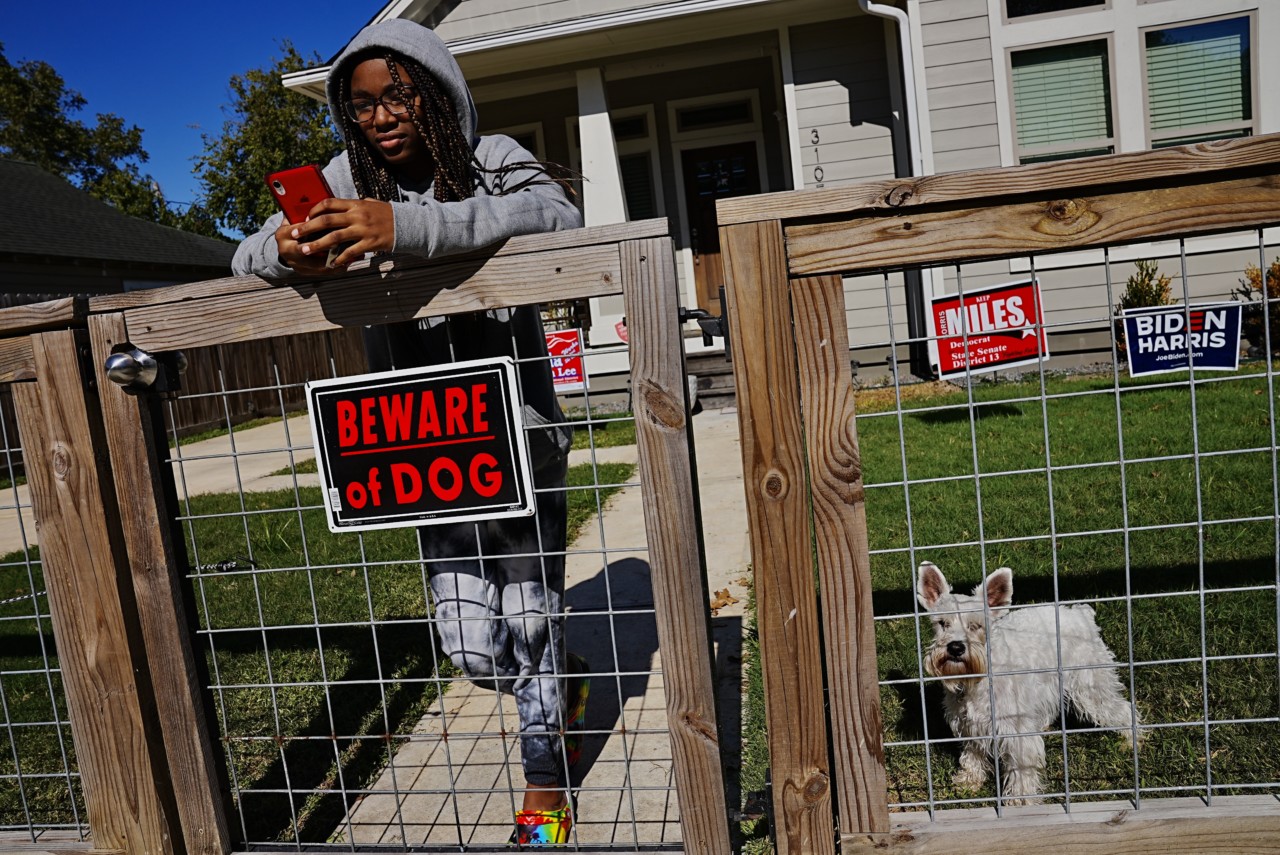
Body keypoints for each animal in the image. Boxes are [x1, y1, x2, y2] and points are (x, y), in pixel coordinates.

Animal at [916, 561, 1140, 804]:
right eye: (942, 623)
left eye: (976, 626)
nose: (956, 647)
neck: (977, 679)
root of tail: (1082, 615)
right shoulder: (970, 724)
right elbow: (973, 753)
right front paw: (969, 780)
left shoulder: (1016, 731)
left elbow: (1021, 768)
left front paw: (1020, 800)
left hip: (1091, 686)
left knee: (1122, 708)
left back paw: (1131, 741)